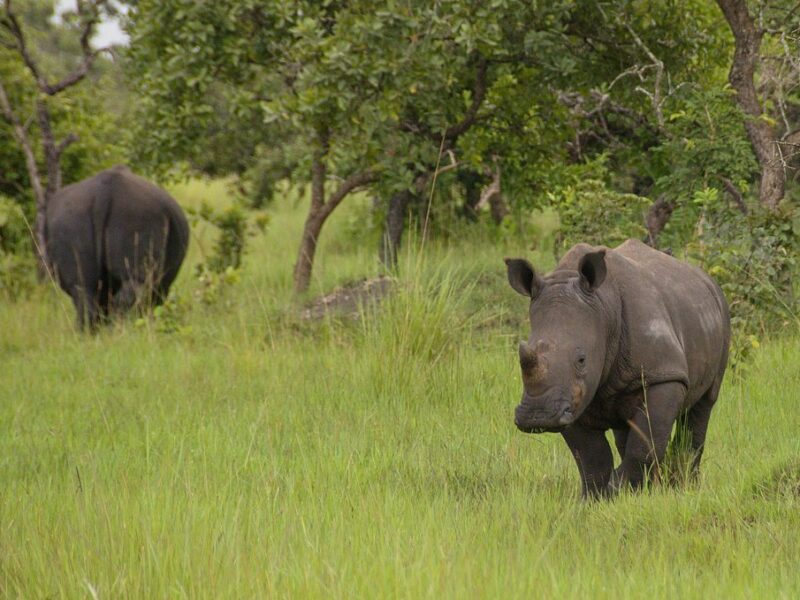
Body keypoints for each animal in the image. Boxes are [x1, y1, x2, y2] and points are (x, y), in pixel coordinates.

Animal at [46, 165, 189, 329]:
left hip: (68, 220)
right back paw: (120, 329)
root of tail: (104, 193)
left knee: (82, 289)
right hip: (137, 217)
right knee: (136, 285)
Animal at [505, 239, 730, 497]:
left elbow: (644, 444)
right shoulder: (569, 398)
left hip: (720, 313)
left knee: (703, 405)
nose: (537, 416)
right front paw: (596, 498)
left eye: (581, 360)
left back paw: (684, 485)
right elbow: (592, 458)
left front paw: (622, 490)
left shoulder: (663, 375)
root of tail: (705, 277)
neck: (604, 308)